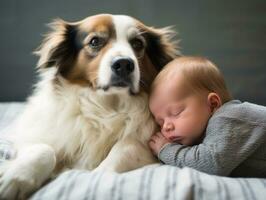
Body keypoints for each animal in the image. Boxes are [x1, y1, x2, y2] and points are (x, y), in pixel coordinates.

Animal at [0, 13, 179, 199]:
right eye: (95, 41)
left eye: (137, 43)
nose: (124, 64)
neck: (106, 107)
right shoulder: (33, 136)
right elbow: (44, 149)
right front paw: (15, 177)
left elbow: (127, 146)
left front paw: (98, 174)